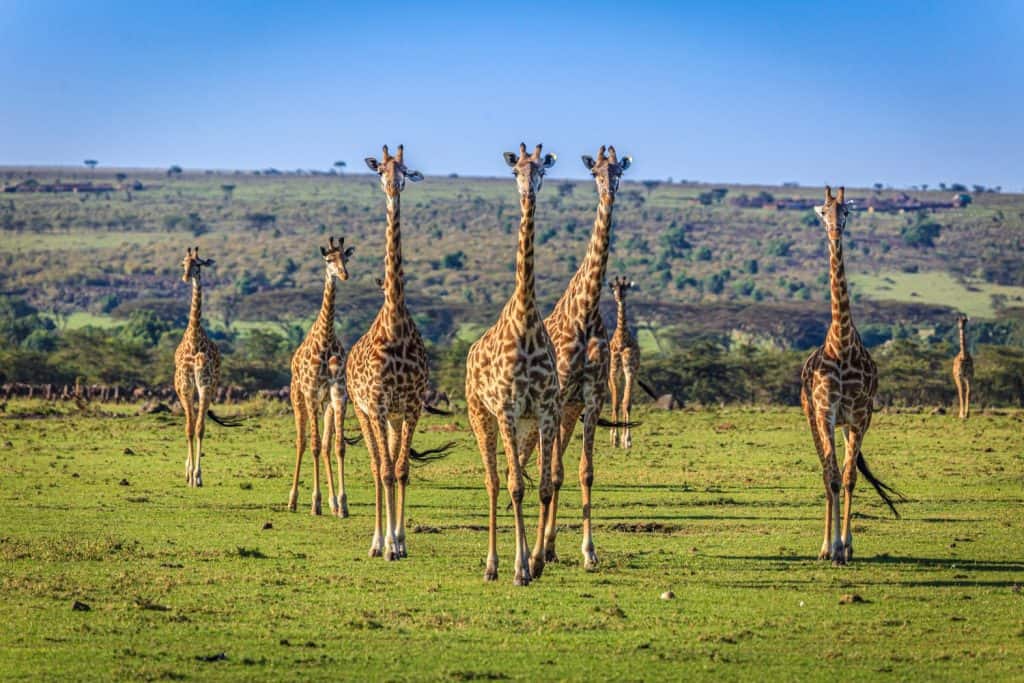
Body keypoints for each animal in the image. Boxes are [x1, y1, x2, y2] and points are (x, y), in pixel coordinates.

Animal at [518, 145, 631, 570]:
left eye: (618, 172)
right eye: (595, 172)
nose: (609, 192)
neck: (585, 312)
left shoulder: (591, 397)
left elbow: (583, 472)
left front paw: (588, 551)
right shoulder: (561, 395)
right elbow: (551, 470)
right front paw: (537, 552)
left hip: (567, 411)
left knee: (557, 469)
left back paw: (550, 546)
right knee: (534, 461)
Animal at [800, 186, 903, 565]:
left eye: (845, 212)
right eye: (823, 212)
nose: (834, 232)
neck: (842, 344)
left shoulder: (859, 415)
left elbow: (849, 478)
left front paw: (846, 547)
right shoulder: (826, 412)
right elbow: (831, 476)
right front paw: (830, 548)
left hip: (848, 425)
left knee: (844, 471)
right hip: (814, 418)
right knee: (823, 471)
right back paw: (823, 547)